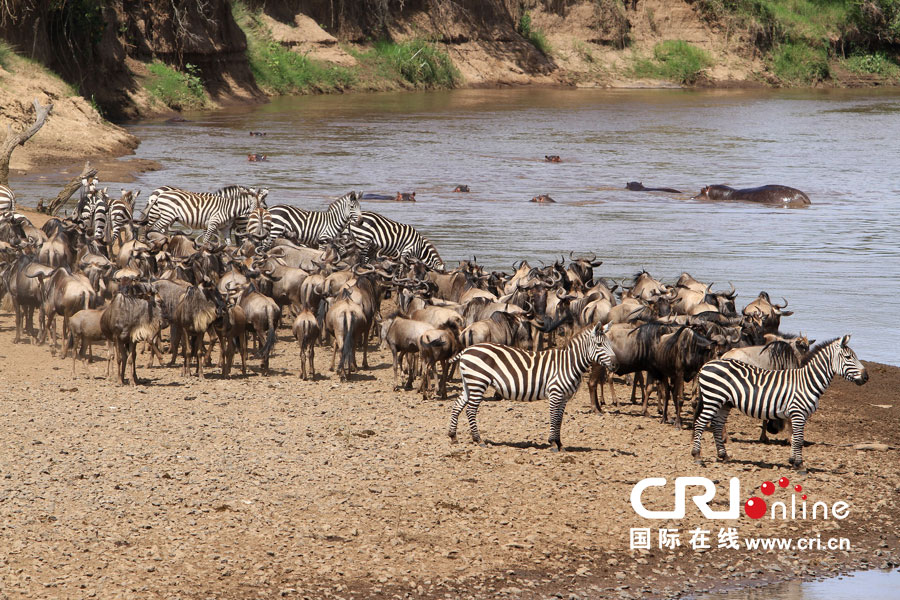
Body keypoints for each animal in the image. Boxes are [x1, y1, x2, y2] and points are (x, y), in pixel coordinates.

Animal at [448, 324, 620, 450]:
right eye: (599, 344)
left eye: (609, 344)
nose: (615, 365)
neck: (568, 364)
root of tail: (467, 349)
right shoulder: (555, 393)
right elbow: (554, 417)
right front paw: (553, 443)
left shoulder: (564, 396)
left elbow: (559, 419)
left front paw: (559, 443)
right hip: (478, 381)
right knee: (470, 410)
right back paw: (478, 439)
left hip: (469, 382)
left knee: (457, 405)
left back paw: (453, 436)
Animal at [692, 332, 868, 468]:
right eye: (848, 357)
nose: (866, 377)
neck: (807, 381)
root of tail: (707, 364)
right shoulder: (798, 412)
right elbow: (798, 438)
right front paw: (799, 464)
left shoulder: (798, 415)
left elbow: (796, 437)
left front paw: (792, 460)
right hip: (713, 399)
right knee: (700, 423)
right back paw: (697, 456)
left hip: (724, 403)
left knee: (716, 425)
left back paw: (723, 455)